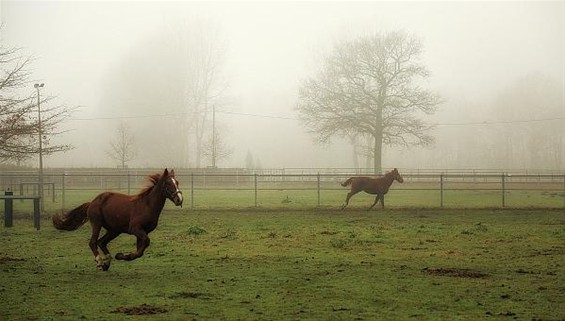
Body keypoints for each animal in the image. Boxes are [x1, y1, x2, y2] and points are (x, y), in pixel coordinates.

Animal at [52, 168, 182, 270]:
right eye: (167, 183)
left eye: (177, 182)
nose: (179, 199)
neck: (147, 205)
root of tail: (92, 202)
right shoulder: (135, 229)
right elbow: (145, 243)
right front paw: (124, 256)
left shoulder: (142, 232)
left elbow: (140, 250)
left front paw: (121, 256)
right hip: (97, 223)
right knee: (93, 242)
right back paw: (100, 262)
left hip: (114, 230)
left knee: (101, 242)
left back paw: (107, 262)